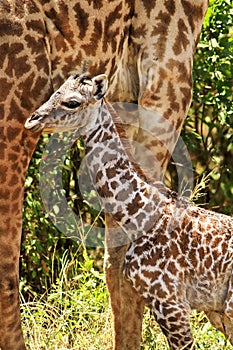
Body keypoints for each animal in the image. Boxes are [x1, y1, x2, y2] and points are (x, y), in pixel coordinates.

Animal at [24, 73, 233, 348]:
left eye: (72, 102)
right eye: (52, 94)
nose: (31, 120)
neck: (137, 215)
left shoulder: (170, 302)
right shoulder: (202, 308)